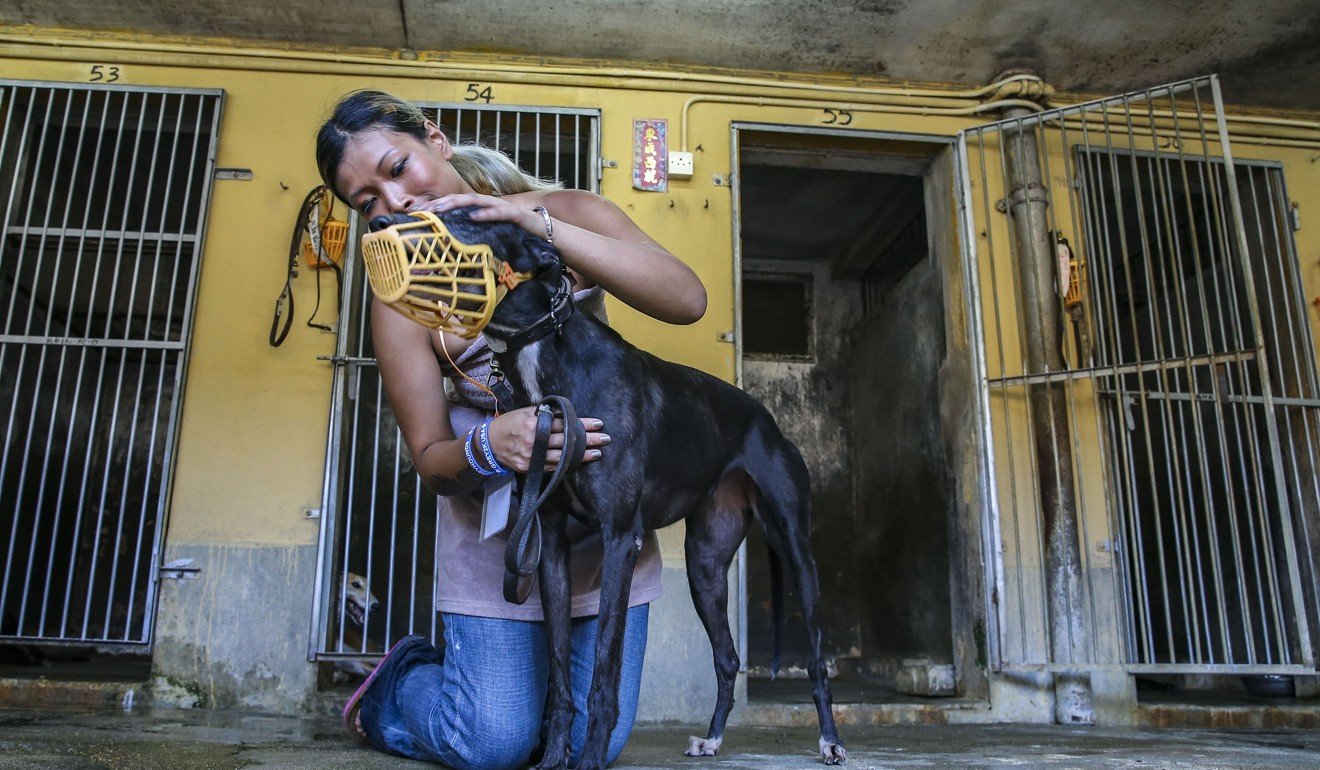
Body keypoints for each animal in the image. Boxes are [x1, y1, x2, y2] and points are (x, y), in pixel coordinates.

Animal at [372, 211, 844, 770]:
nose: (378, 220)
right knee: (727, 659)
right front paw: (554, 758)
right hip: (705, 565)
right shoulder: (549, 543)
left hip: (794, 547)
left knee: (816, 656)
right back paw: (711, 740)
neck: (543, 360)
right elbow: (560, 678)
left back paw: (830, 740)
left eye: (463, 216)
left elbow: (602, 671)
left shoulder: (621, 537)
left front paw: (590, 758)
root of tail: (765, 416)